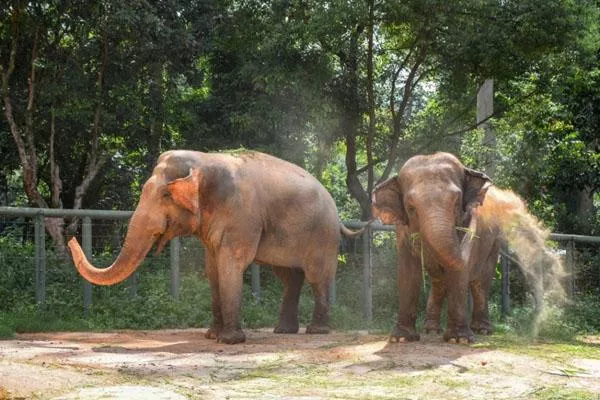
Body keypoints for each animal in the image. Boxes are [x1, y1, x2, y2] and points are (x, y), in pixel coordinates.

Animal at [68, 150, 364, 344]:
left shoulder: (241, 217)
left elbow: (230, 265)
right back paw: (283, 332)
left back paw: (316, 331)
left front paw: (229, 341)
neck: (204, 160)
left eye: (165, 194)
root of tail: (337, 213)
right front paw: (212, 336)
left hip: (322, 236)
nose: (70, 236)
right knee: (289, 276)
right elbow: (212, 270)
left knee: (316, 276)